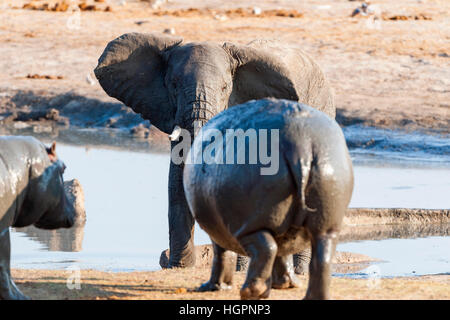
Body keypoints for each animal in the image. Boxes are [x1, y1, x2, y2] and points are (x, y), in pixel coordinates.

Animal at [183, 99, 356, 300]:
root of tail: (300, 144)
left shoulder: (219, 229)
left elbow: (222, 255)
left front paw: (213, 287)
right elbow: (283, 254)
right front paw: (286, 284)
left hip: (251, 222)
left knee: (266, 248)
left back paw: (251, 291)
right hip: (327, 216)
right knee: (321, 258)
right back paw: (311, 297)